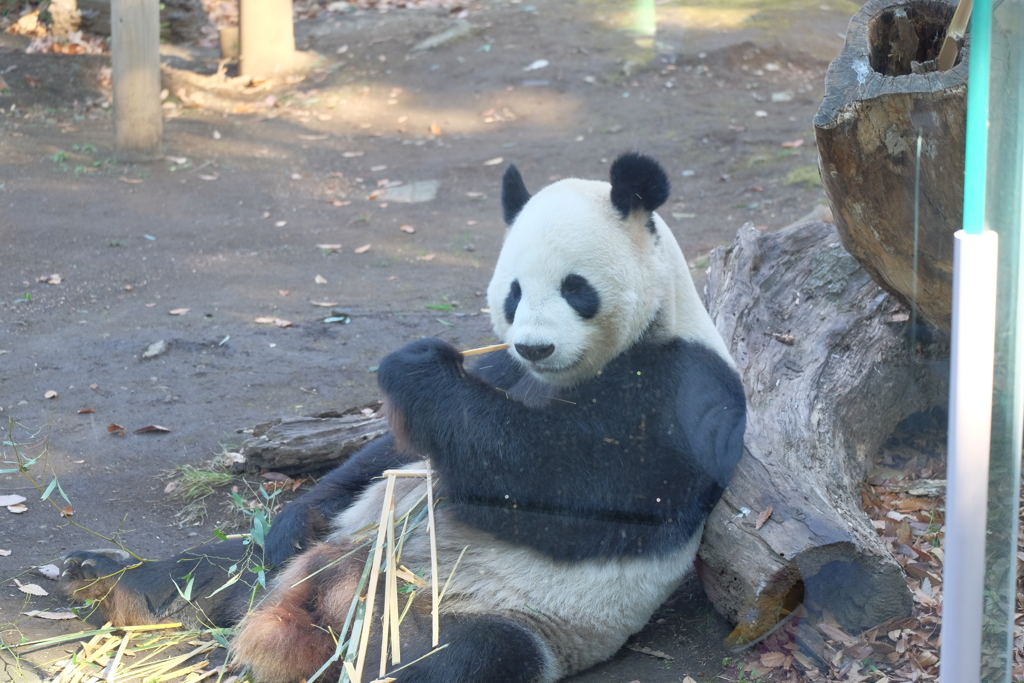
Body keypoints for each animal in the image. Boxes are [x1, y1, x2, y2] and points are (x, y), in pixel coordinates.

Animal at [61, 153, 745, 683]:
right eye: (514, 292)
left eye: (576, 288)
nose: (535, 346)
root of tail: (322, 609)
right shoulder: (502, 371)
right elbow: (386, 456)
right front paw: (297, 513)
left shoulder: (682, 389)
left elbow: (572, 486)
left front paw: (416, 369)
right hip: (315, 558)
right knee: (215, 567)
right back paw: (101, 579)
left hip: (488, 619)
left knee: (466, 660)